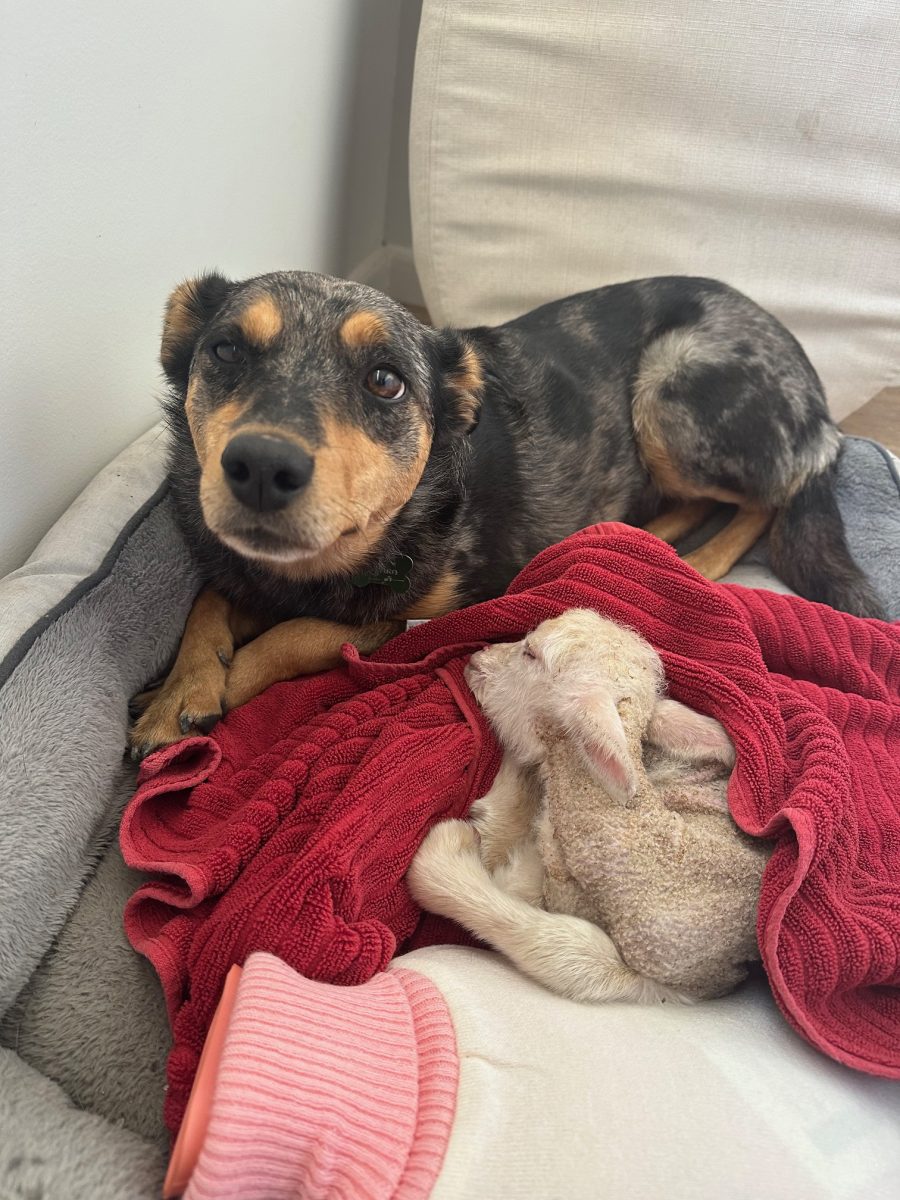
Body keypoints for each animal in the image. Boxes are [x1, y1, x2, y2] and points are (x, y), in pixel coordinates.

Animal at [128, 274, 888, 753]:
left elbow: (301, 634)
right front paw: (179, 691)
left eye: (385, 380)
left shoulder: (418, 615)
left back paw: (697, 559)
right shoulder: (243, 570)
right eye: (226, 349)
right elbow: (208, 598)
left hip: (672, 390)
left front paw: (221, 688)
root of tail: (820, 405)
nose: (260, 467)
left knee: (770, 495)